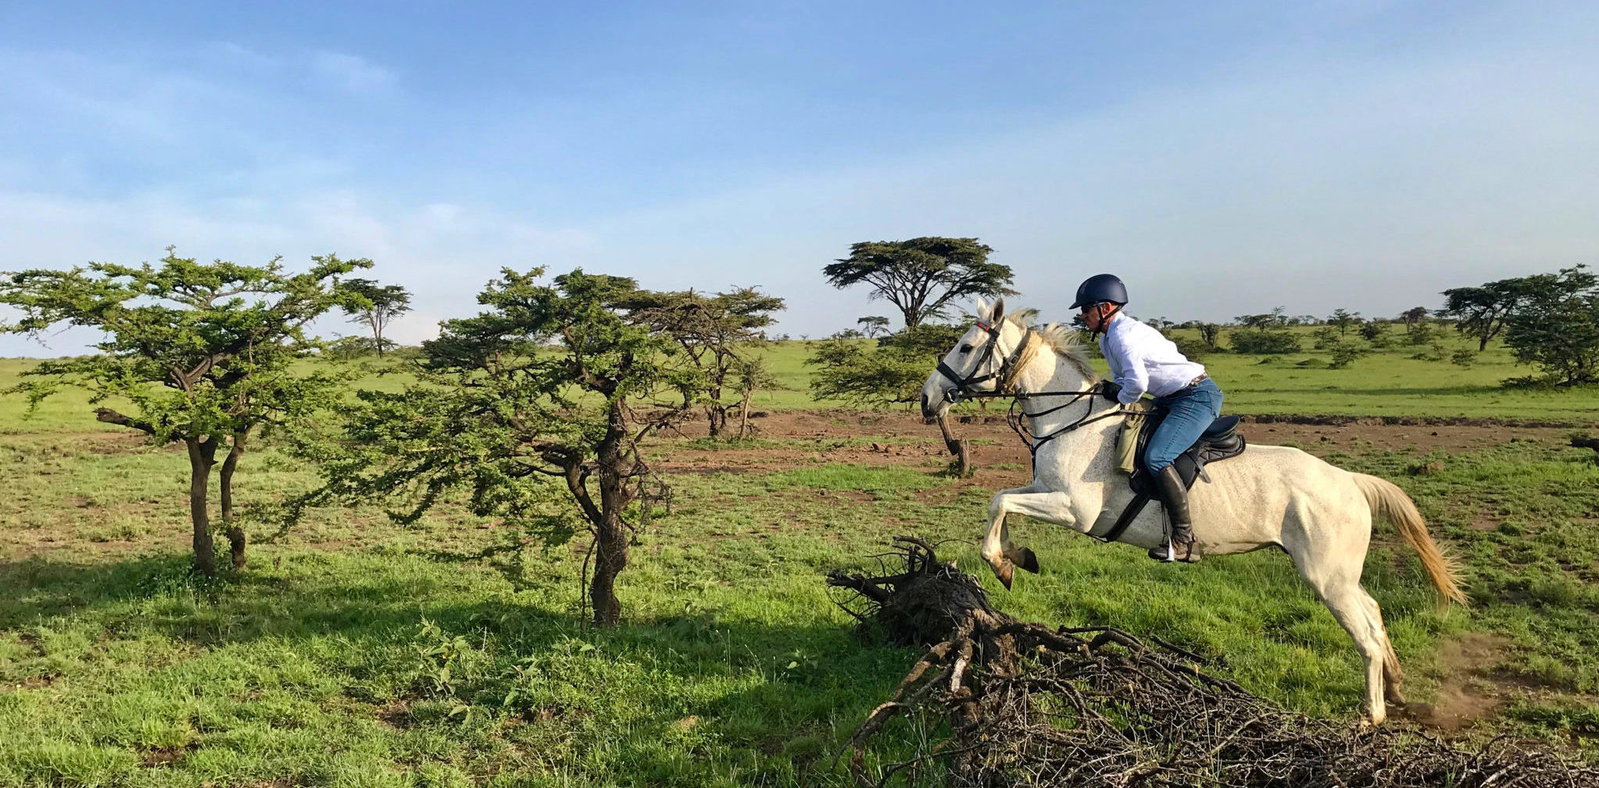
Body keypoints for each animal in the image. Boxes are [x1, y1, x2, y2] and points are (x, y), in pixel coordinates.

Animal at [918, 297, 1465, 725]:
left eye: (965, 347)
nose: (927, 399)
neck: (1072, 419)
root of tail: (1350, 480)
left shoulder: (1074, 510)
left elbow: (999, 502)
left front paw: (1003, 563)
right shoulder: (1044, 489)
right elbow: (1003, 501)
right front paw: (1017, 558)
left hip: (1326, 577)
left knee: (1366, 635)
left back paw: (1372, 714)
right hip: (1341, 576)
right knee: (1374, 615)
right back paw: (1396, 689)